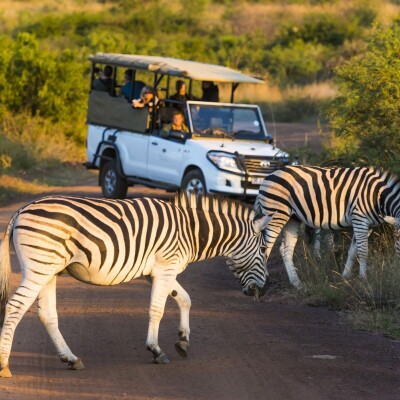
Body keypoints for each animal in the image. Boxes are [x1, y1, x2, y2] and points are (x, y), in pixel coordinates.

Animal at [0, 195, 272, 376]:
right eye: (262, 249)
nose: (266, 289)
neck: (191, 231)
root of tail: (22, 209)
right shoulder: (165, 268)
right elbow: (157, 310)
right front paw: (156, 350)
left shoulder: (159, 272)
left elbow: (185, 299)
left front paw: (183, 341)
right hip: (39, 267)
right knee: (15, 307)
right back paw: (4, 364)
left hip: (49, 271)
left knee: (47, 315)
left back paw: (71, 358)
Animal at [255, 167, 400, 290]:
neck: (377, 196)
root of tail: (269, 175)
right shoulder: (360, 219)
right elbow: (363, 251)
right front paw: (364, 279)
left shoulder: (368, 225)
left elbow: (353, 251)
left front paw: (345, 276)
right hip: (276, 215)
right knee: (265, 248)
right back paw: (263, 282)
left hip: (292, 219)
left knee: (285, 250)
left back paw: (297, 284)